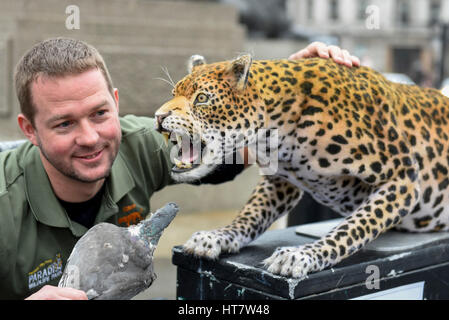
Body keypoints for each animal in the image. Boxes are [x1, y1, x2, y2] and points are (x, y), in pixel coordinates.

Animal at [155, 54, 448, 278]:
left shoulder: (403, 177)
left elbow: (354, 228)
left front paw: (303, 255)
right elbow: (250, 215)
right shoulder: (279, 181)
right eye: (173, 94)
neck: (275, 130)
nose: (158, 116)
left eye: (202, 98)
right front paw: (217, 236)